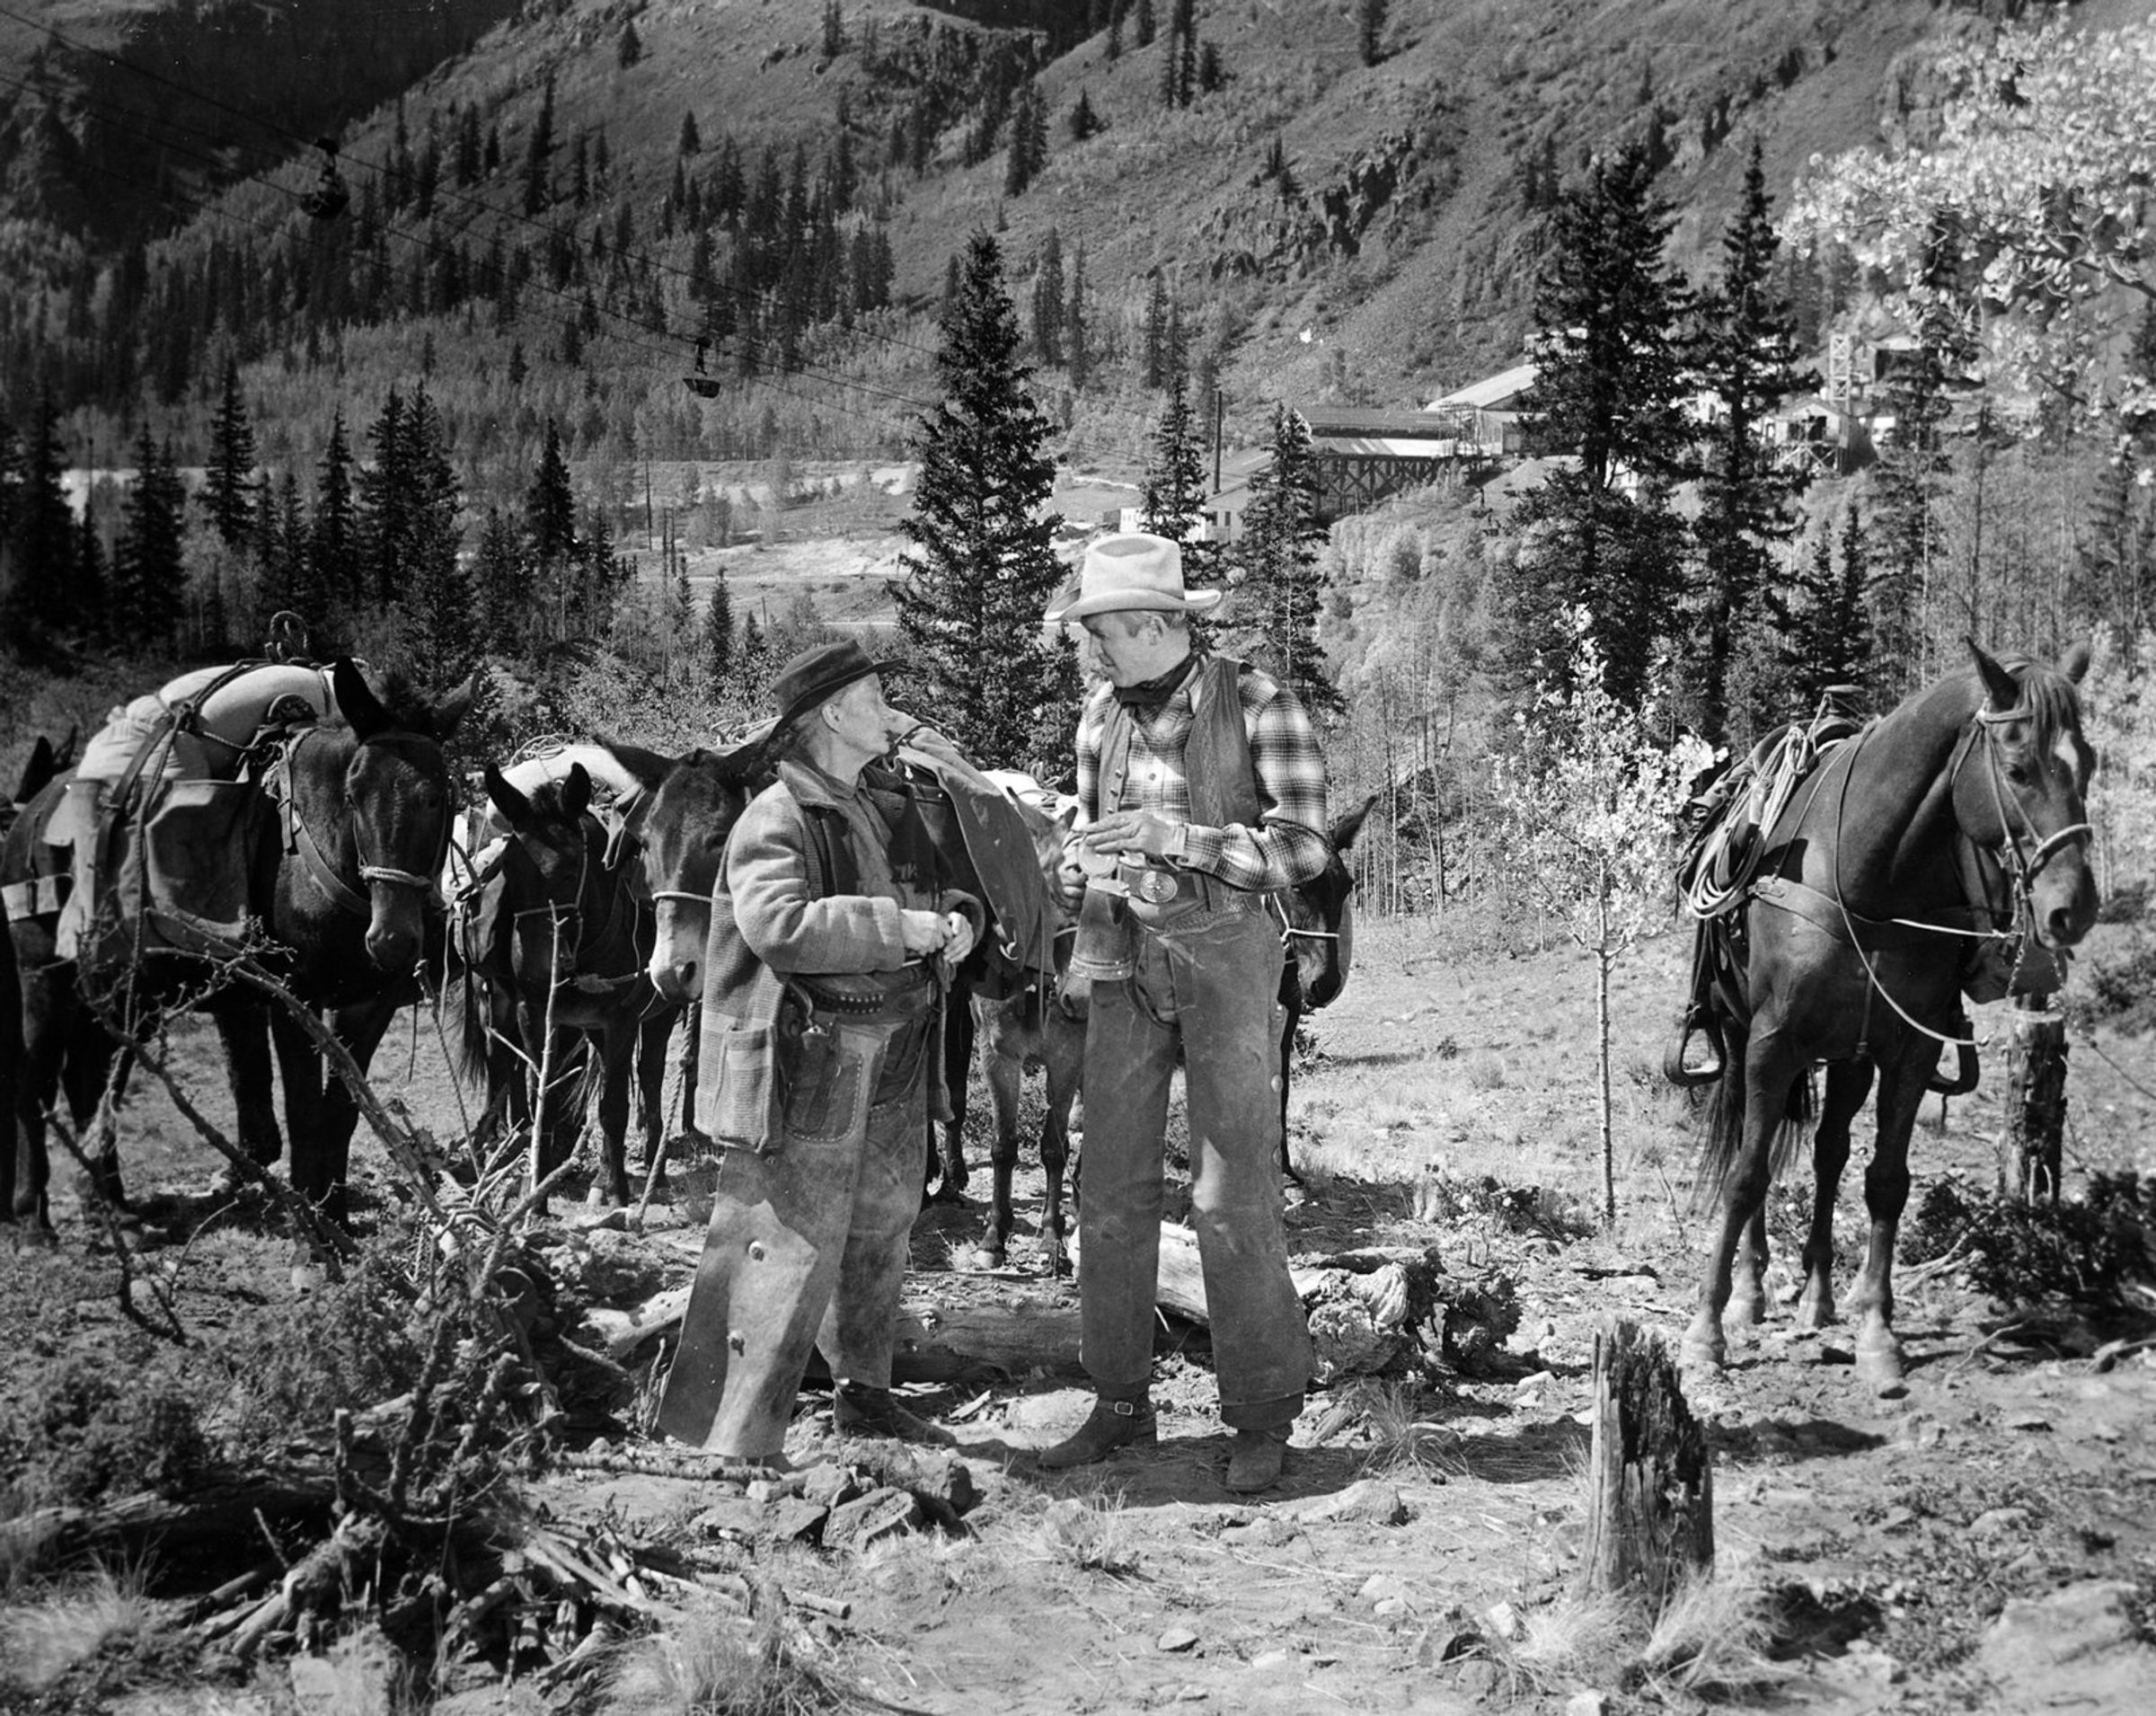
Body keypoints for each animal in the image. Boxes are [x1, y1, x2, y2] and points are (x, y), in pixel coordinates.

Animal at [3, 662, 470, 1230]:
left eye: (439, 795)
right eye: (354, 793)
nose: (392, 939)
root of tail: (29, 816)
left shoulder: (367, 1004)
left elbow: (341, 1112)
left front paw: (336, 1218)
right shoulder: (295, 1003)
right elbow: (305, 1113)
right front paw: (317, 1225)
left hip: (121, 996)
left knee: (90, 1078)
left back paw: (112, 1204)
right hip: (43, 980)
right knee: (36, 1084)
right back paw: (33, 1219)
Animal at [449, 760, 676, 1207]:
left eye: (571, 871)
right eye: (509, 874)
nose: (539, 973)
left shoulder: (622, 1020)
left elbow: (613, 1106)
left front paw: (617, 1193)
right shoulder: (536, 1015)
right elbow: (547, 1095)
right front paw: (536, 1190)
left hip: (660, 1014)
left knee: (650, 1073)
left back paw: (643, 1168)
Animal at [1677, 642, 2099, 1397]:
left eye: (2091, 762)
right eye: (2018, 768)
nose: (2072, 909)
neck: (1865, 870)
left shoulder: (1907, 1050)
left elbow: (1886, 1183)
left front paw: (1877, 1333)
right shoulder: (1771, 1044)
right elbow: (1749, 1174)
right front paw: (1707, 1332)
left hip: (1851, 1056)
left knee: (1829, 1152)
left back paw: (1818, 1297)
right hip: (1741, 1033)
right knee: (1758, 1149)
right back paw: (1752, 1292)